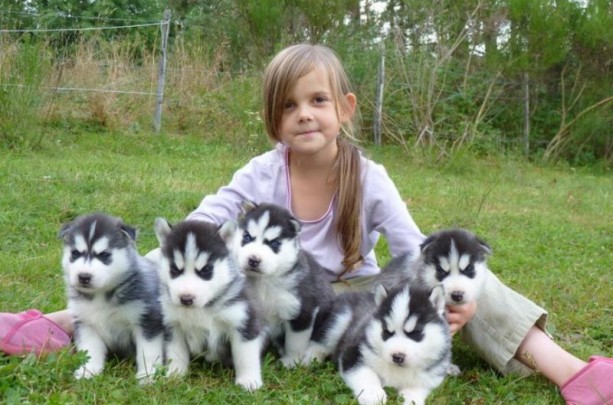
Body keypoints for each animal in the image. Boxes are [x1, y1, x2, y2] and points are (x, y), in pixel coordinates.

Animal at [59, 213, 165, 380]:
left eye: (104, 255)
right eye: (75, 253)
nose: (84, 277)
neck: (100, 295)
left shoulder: (147, 320)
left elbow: (148, 352)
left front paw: (148, 375)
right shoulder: (85, 322)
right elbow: (90, 350)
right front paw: (88, 371)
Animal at [153, 218, 266, 392]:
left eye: (206, 269)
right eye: (174, 269)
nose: (186, 299)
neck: (202, 309)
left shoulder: (243, 321)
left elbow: (245, 356)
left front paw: (249, 381)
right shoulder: (172, 325)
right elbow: (176, 353)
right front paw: (175, 375)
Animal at [228, 200, 334, 368]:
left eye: (274, 243)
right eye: (247, 237)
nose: (253, 260)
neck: (264, 281)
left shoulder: (301, 310)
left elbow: (295, 342)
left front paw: (292, 362)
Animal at [308, 282, 448, 404]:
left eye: (415, 332)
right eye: (387, 331)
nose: (397, 356)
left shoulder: (430, 376)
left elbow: (417, 388)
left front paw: (412, 400)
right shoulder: (353, 352)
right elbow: (365, 374)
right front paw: (372, 394)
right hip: (338, 322)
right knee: (319, 344)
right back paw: (310, 360)